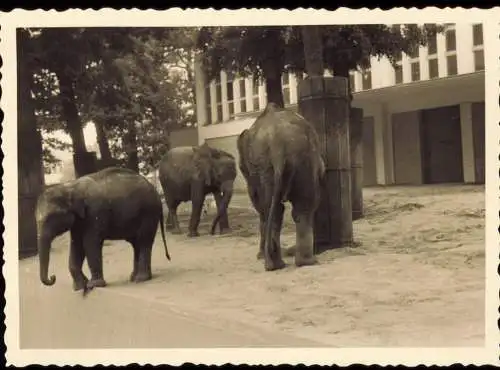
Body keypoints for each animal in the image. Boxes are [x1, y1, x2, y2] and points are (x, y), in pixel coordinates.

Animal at [36, 167, 171, 294]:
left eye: (50, 218)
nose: (53, 277)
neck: (70, 187)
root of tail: (157, 194)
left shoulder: (95, 213)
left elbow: (90, 243)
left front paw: (93, 285)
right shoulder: (79, 221)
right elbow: (76, 245)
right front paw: (79, 287)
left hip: (148, 214)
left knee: (143, 241)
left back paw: (141, 279)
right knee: (136, 244)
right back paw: (135, 277)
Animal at [237, 102, 326, 270]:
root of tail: (276, 143)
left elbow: (259, 203)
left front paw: (260, 256)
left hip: (269, 166)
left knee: (273, 208)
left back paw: (275, 264)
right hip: (302, 158)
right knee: (303, 206)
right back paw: (305, 262)